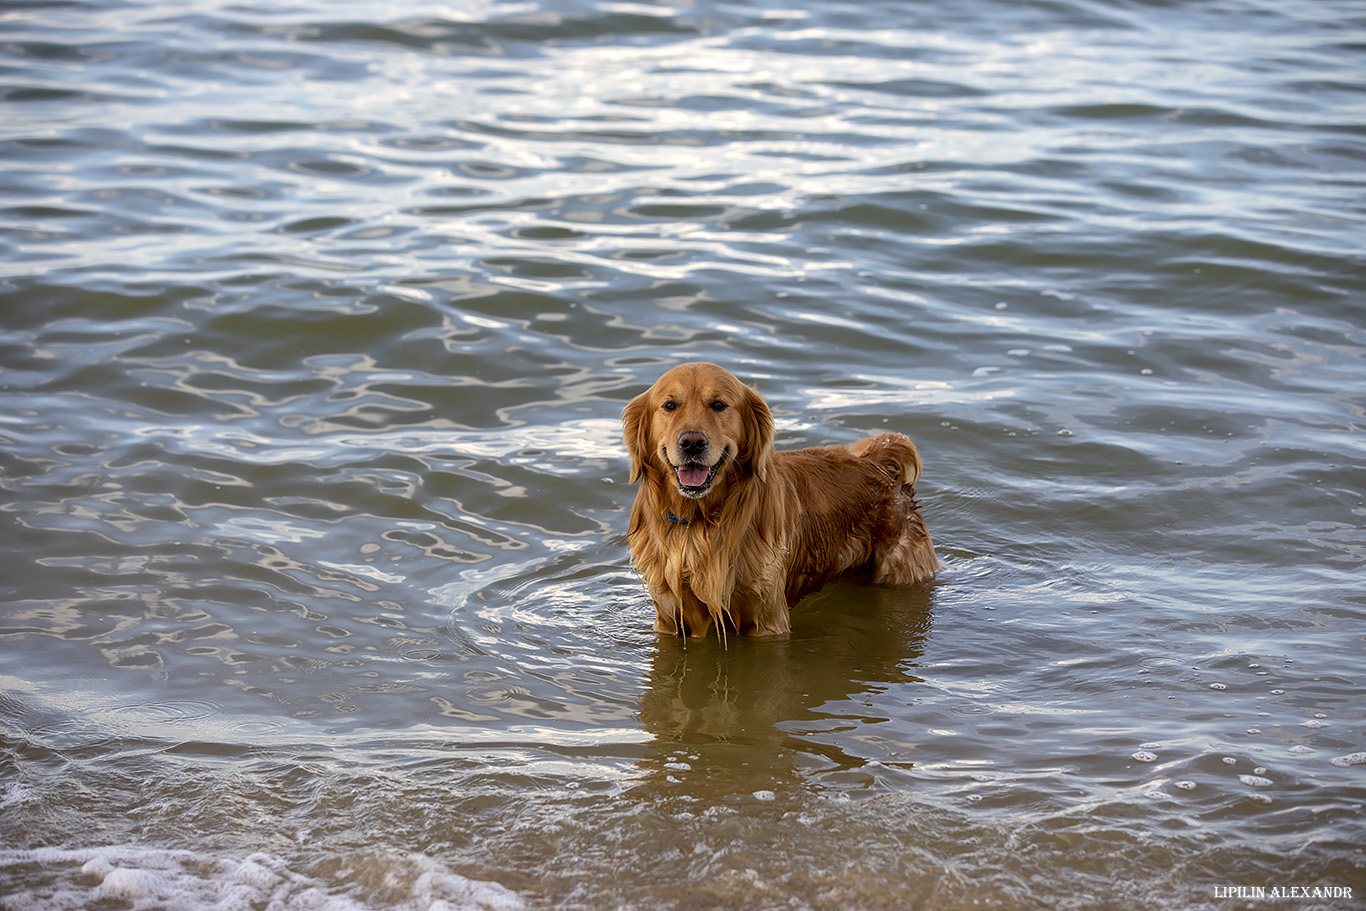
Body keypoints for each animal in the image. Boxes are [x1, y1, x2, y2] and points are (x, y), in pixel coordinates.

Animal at [622, 360, 934, 639]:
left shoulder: (766, 618)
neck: (702, 523)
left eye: (719, 405)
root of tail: (879, 462)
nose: (692, 443)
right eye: (670, 406)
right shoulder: (670, 617)